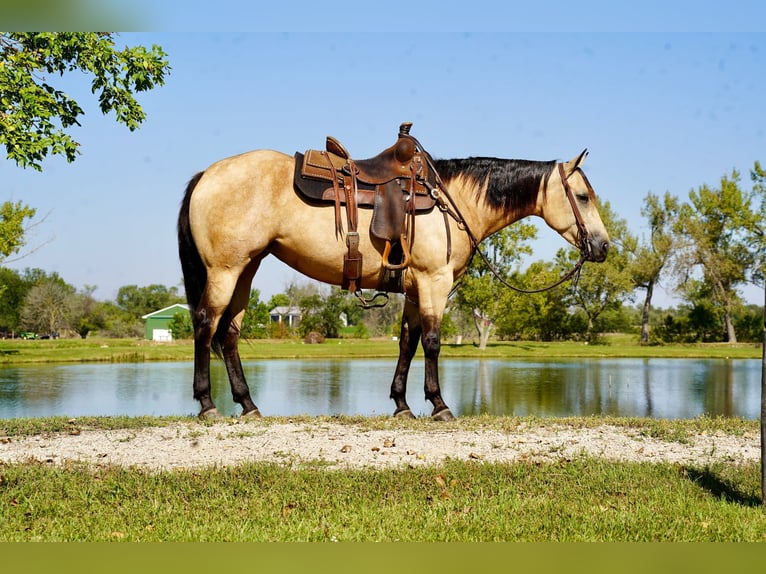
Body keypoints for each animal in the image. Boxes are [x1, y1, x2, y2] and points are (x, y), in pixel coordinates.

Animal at [177, 129, 610, 421]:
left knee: (228, 334)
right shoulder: (435, 282)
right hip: (225, 270)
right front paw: (439, 405)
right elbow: (432, 342)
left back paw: (248, 404)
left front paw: (402, 405)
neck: (451, 200)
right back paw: (208, 404)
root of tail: (206, 174)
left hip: (245, 269)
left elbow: (407, 342)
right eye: (583, 197)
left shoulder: (416, 288)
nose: (603, 246)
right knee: (205, 324)